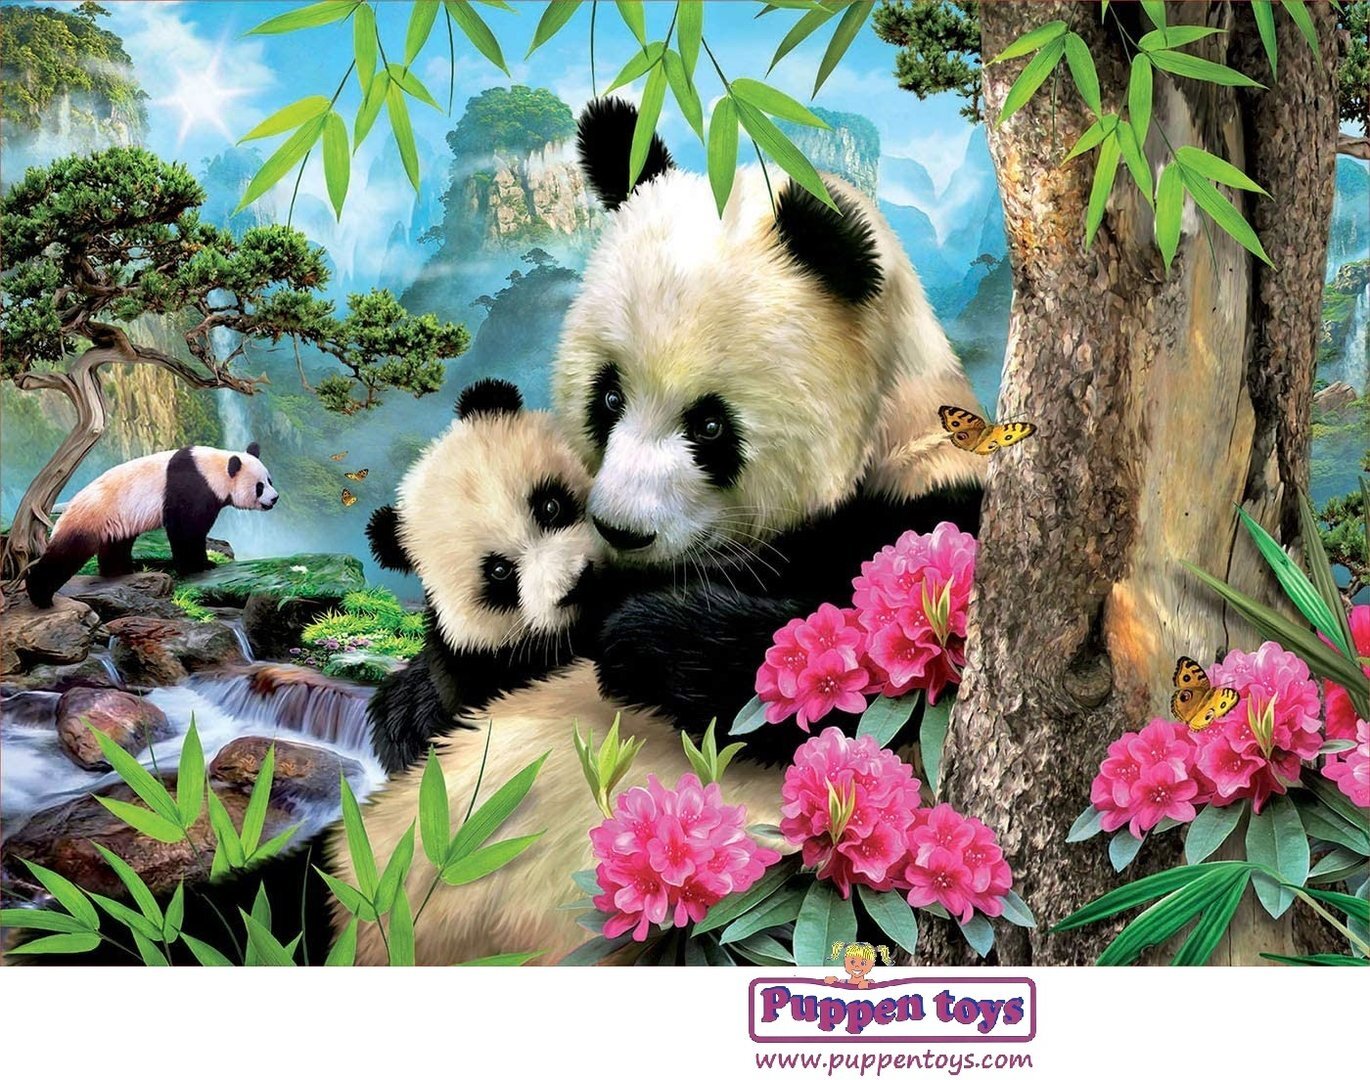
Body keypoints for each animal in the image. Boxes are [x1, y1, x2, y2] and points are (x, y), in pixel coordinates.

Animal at [25, 443, 277, 607]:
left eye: (269, 480)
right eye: (259, 487)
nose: (274, 498)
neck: (213, 468)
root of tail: (67, 509)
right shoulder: (191, 486)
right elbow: (186, 530)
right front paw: (201, 565)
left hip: (116, 520)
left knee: (117, 545)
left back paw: (121, 571)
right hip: (91, 517)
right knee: (66, 553)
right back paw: (40, 596)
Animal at [328, 101, 989, 965]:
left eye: (710, 425)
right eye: (607, 397)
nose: (620, 530)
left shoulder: (935, 509)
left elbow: (865, 693)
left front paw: (641, 637)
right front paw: (408, 705)